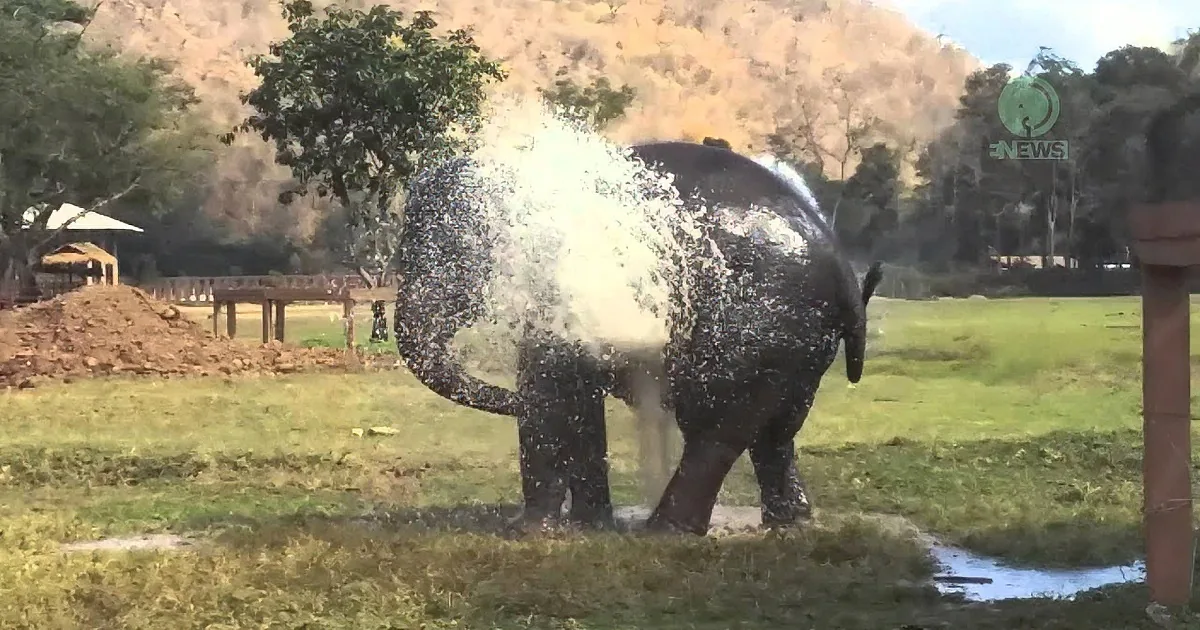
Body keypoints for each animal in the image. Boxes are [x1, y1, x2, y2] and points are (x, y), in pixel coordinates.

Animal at [394, 139, 883, 534]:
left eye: (448, 255)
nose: (504, 400)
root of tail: (844, 268)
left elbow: (551, 395)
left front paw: (527, 533)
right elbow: (578, 402)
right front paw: (590, 527)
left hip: (757, 322)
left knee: (713, 427)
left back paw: (666, 530)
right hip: (798, 340)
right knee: (775, 433)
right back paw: (790, 524)